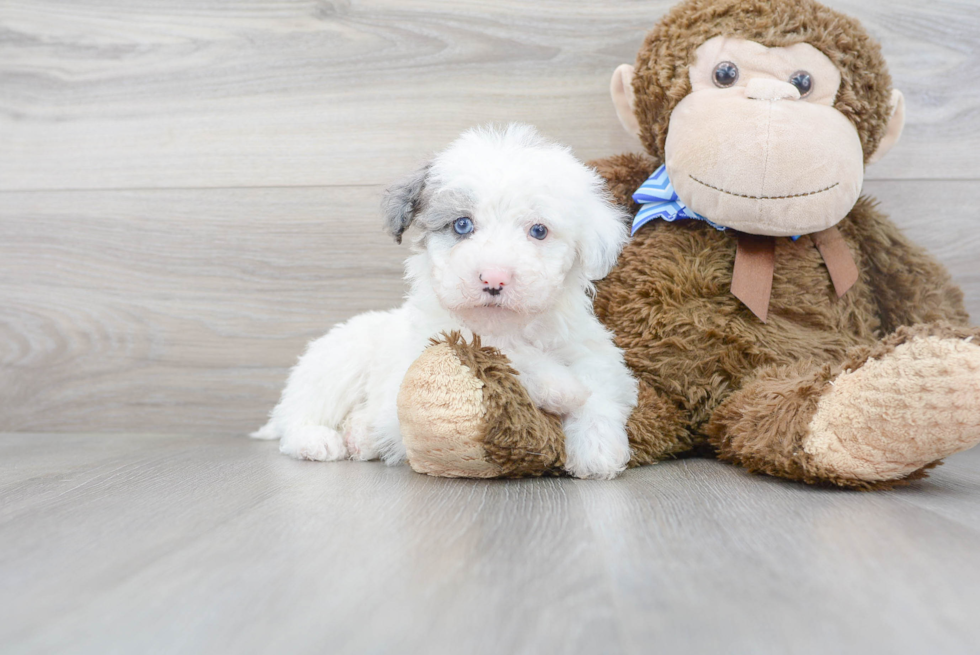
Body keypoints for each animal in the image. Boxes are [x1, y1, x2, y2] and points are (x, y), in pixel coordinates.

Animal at [253, 125, 636, 480]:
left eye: (539, 231)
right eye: (462, 225)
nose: (493, 278)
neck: (508, 326)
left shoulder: (592, 349)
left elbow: (600, 385)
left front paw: (597, 449)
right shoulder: (438, 343)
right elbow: (500, 354)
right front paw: (561, 386)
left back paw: (361, 437)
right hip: (338, 365)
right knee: (298, 416)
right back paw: (318, 441)